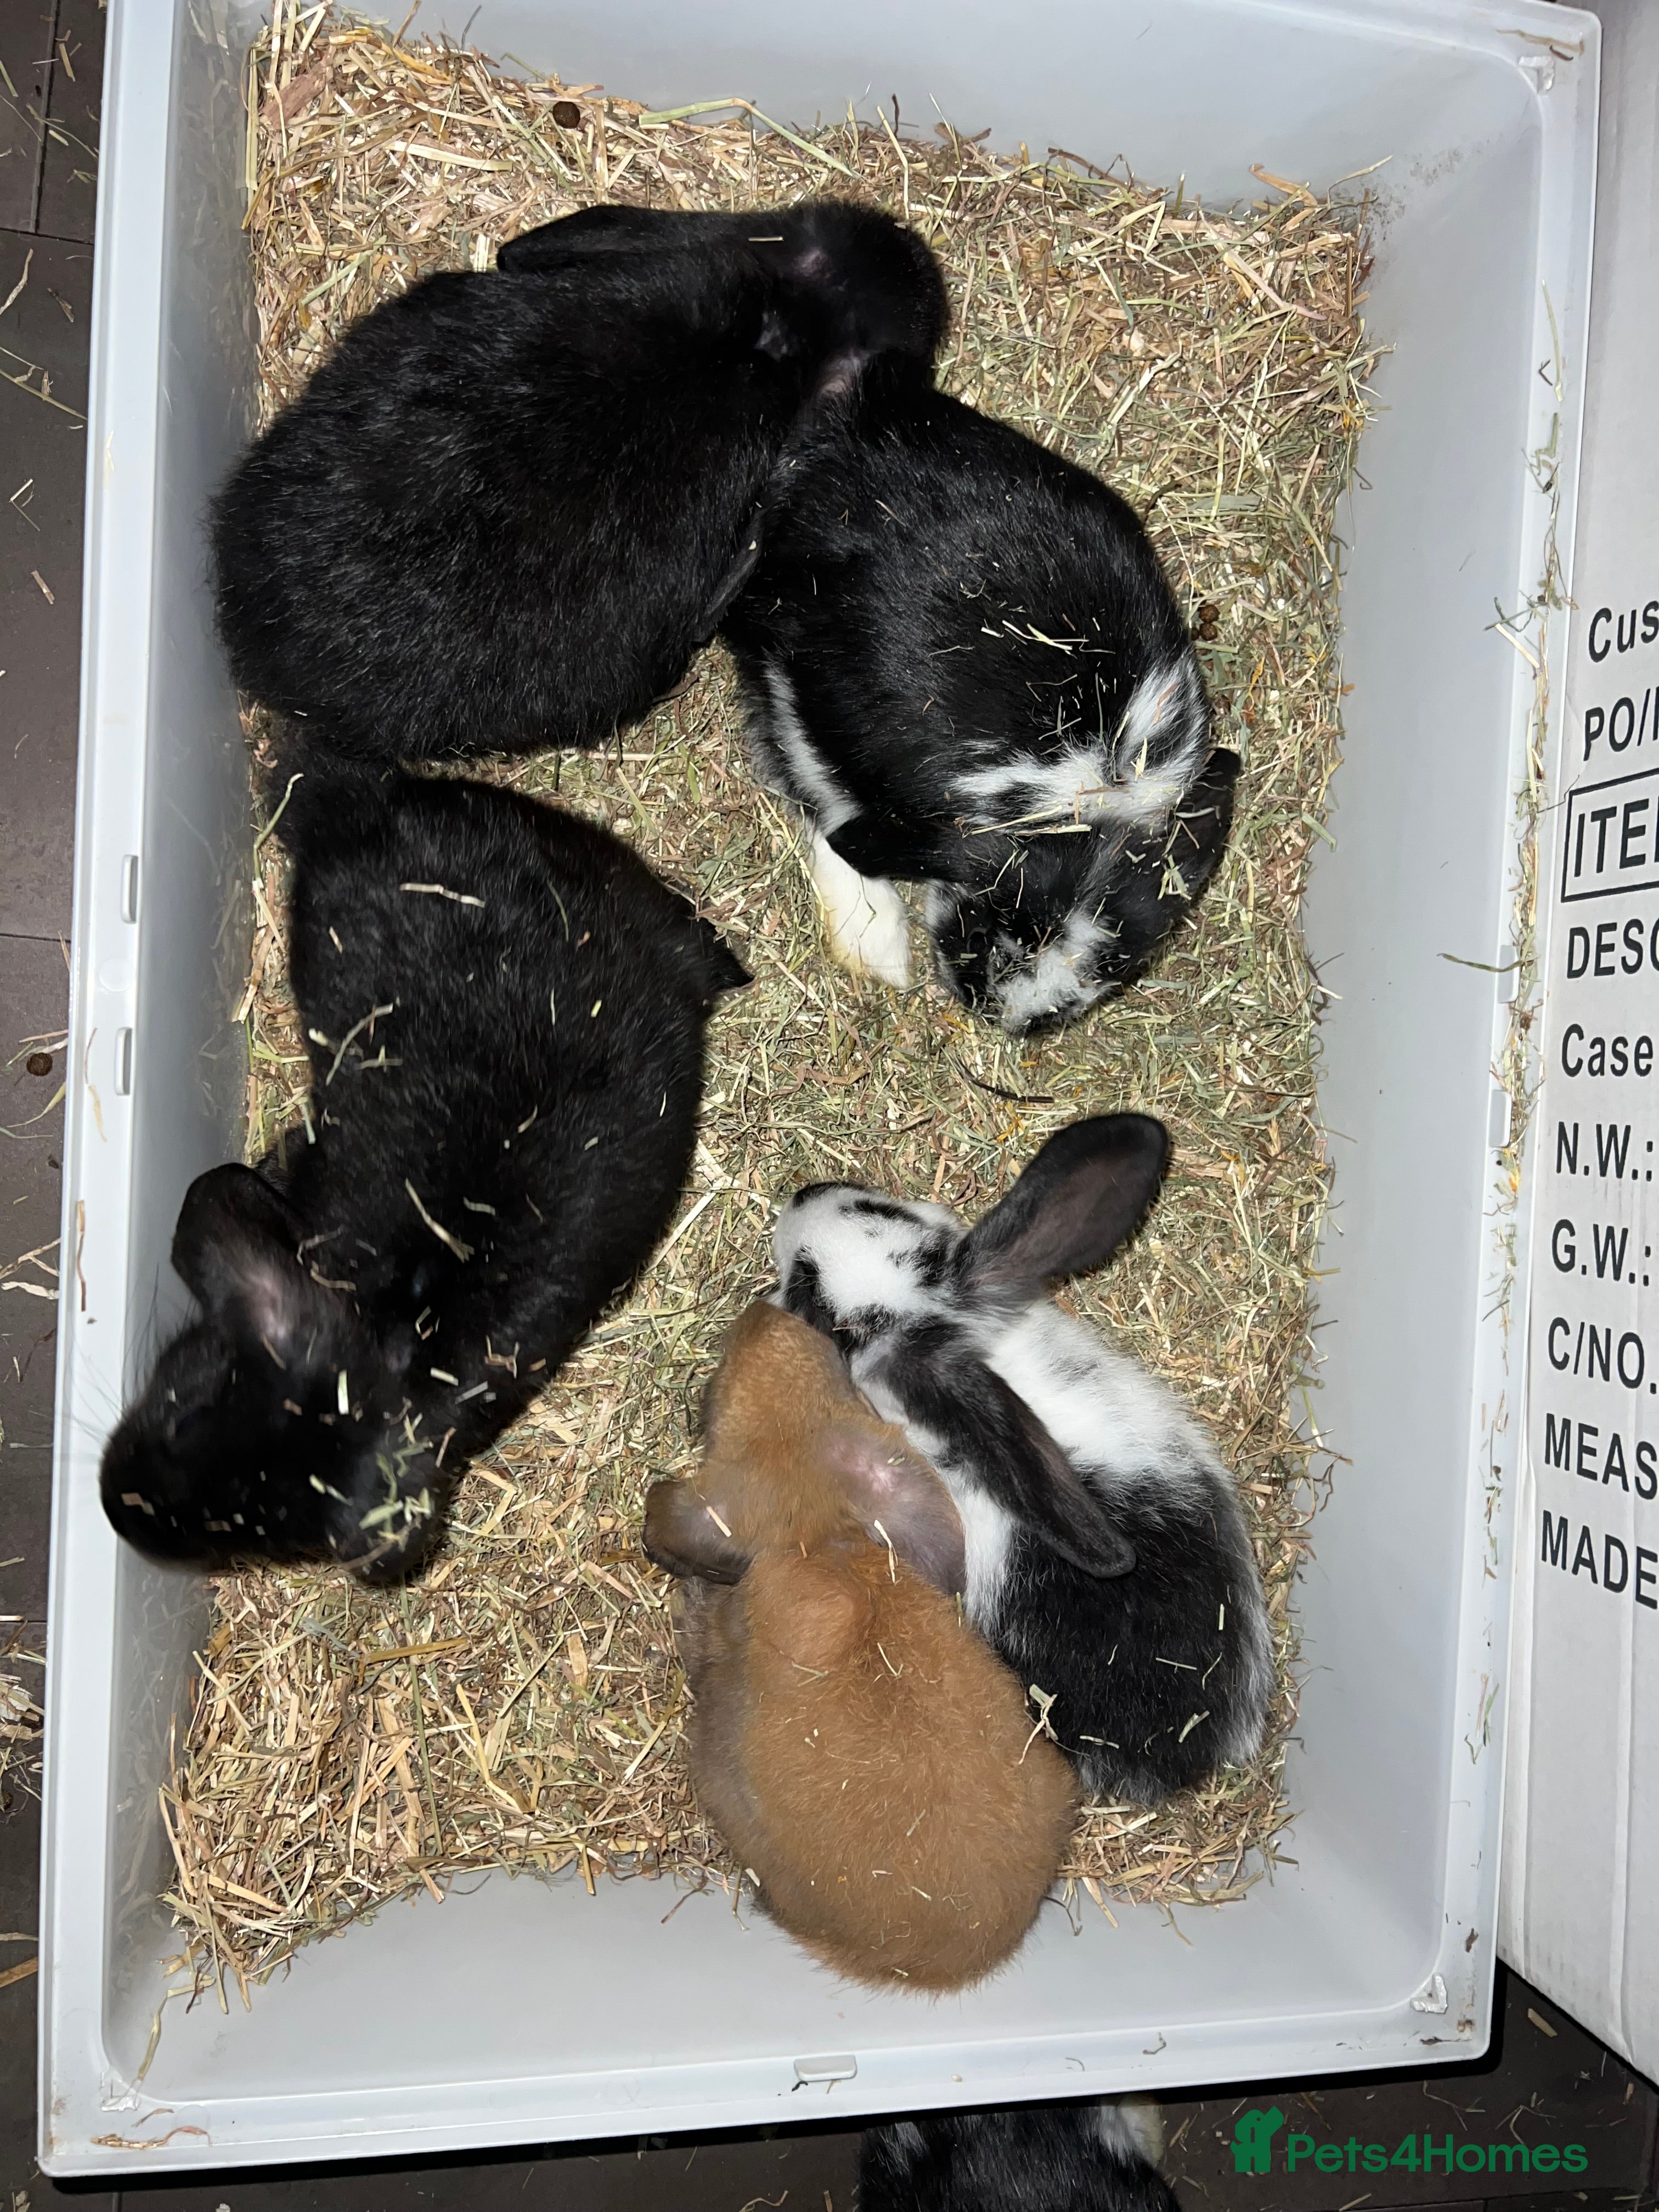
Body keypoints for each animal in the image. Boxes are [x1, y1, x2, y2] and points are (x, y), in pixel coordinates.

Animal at [721, 353, 1238, 1032]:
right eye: (997, 933)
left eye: (1110, 974)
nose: (997, 1013)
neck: (1087, 781)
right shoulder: (809, 700)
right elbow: (823, 801)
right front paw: (878, 943)